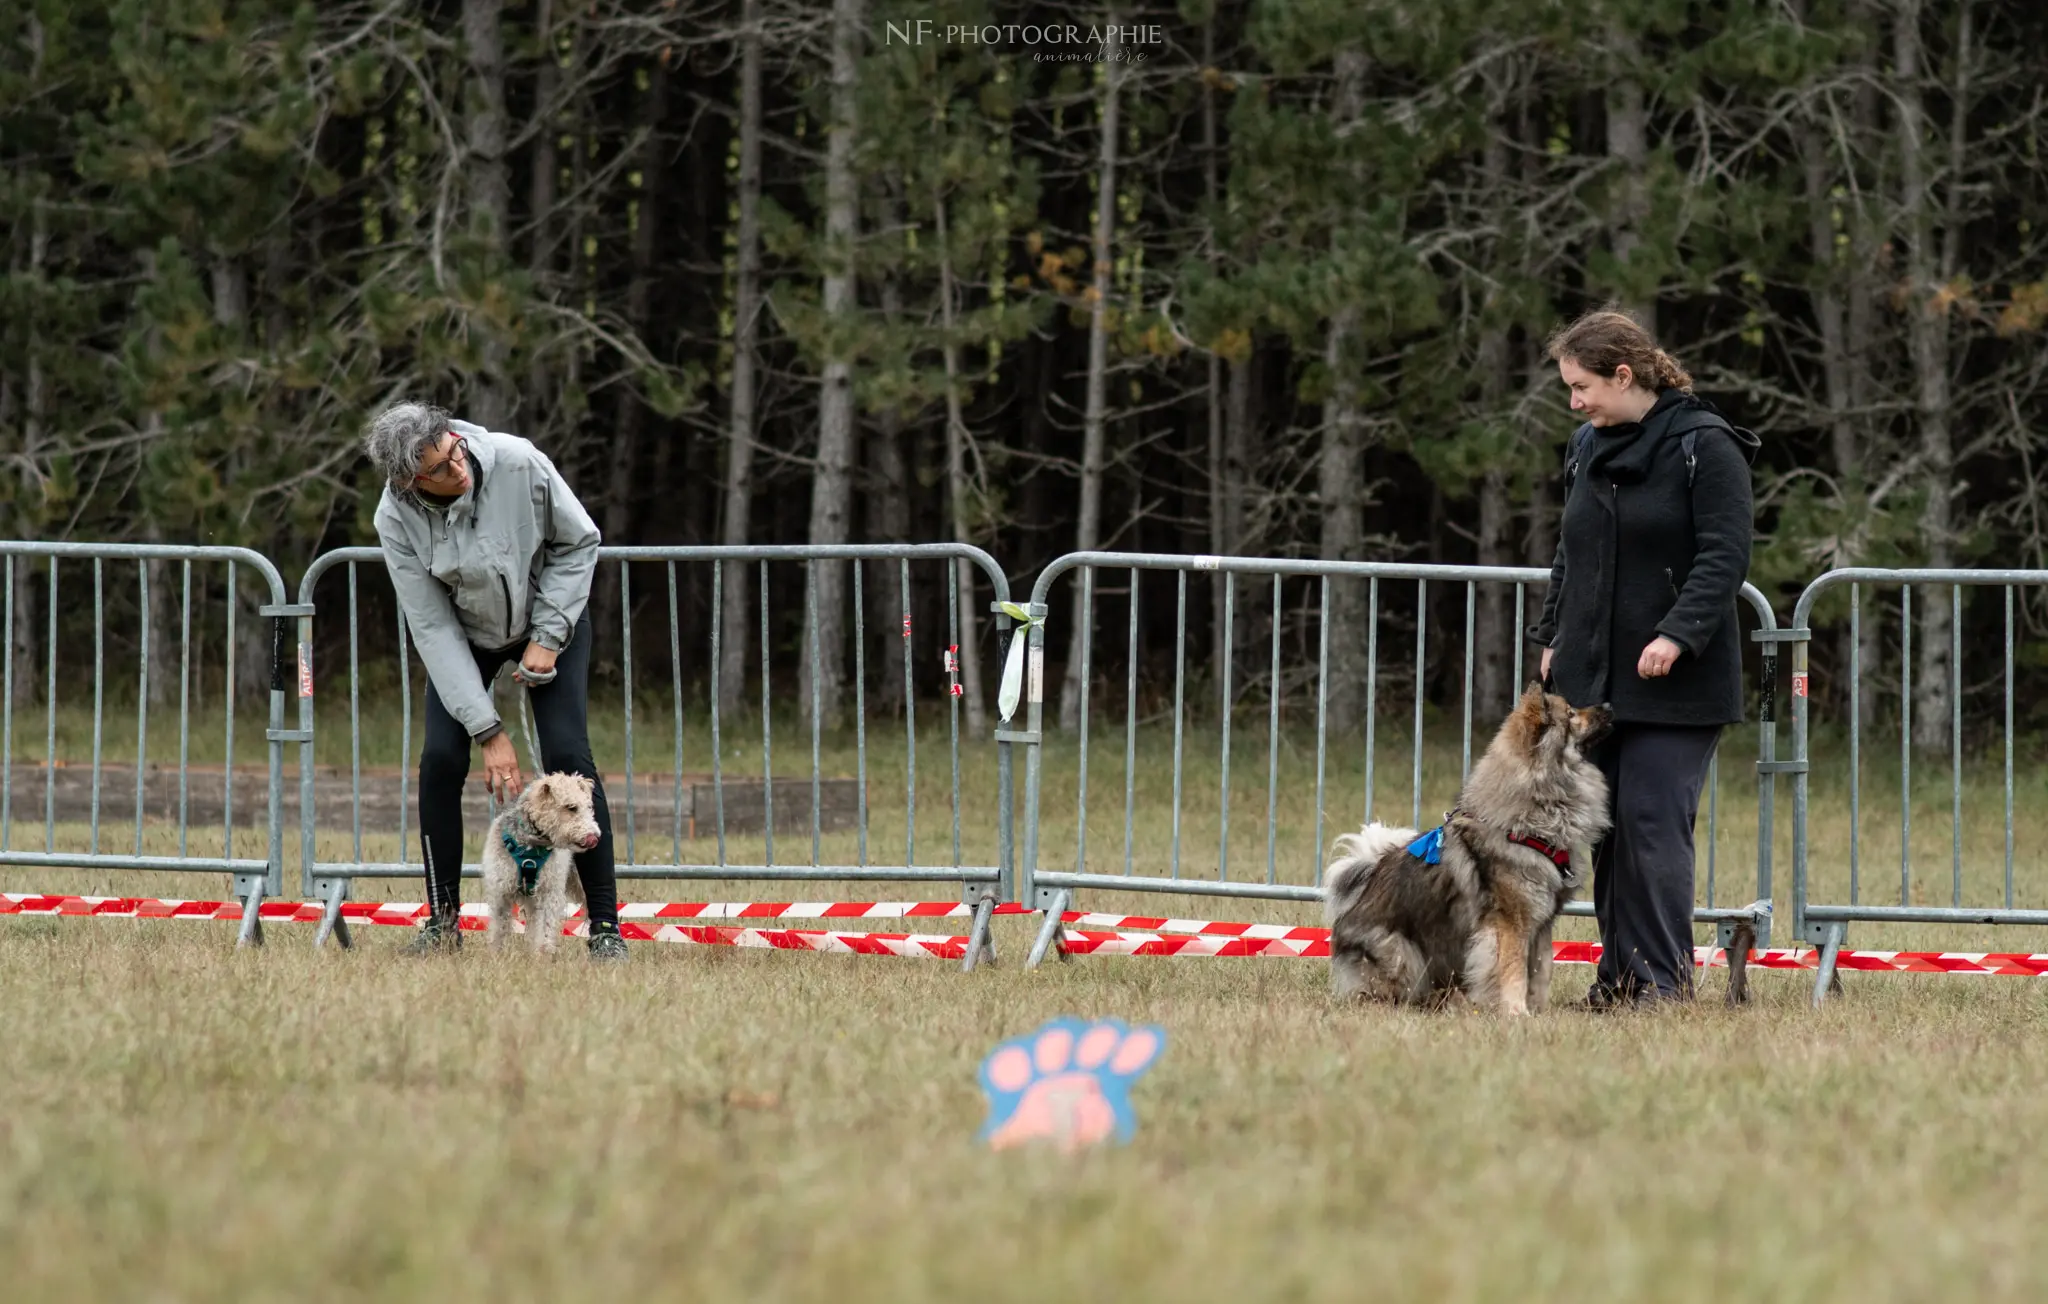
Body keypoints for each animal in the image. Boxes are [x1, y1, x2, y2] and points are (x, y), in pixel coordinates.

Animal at [481, 769, 598, 949]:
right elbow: (498, 930)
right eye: (571, 807)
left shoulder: (549, 892)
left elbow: (546, 930)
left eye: (589, 807)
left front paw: (544, 953)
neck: (531, 845)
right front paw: (495, 952)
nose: (595, 837)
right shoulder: (501, 891)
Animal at [1327, 687, 1613, 1011]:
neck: (1535, 814)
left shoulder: (1541, 924)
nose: (1609, 705)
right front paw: (1516, 1012)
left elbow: (1541, 972)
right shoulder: (1511, 923)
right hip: (1402, 954)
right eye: (1571, 714)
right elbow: (1513, 971)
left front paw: (1540, 1012)